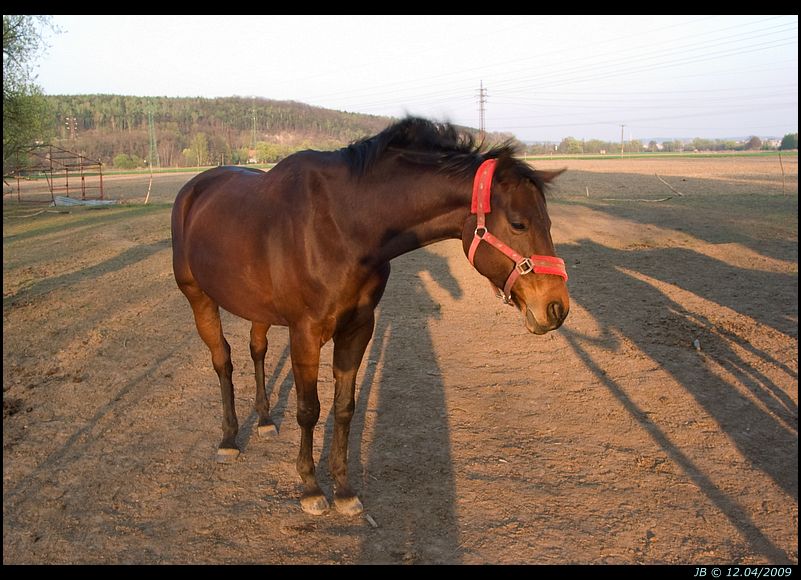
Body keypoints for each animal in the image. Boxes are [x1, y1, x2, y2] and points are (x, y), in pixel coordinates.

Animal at [170, 115, 568, 516]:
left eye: (549, 222)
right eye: (518, 223)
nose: (556, 308)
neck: (342, 225)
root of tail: (193, 189)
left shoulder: (358, 328)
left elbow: (344, 407)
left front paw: (344, 489)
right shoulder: (305, 334)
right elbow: (308, 409)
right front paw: (311, 487)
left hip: (257, 309)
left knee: (257, 350)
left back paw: (265, 420)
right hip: (199, 299)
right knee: (223, 361)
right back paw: (229, 438)